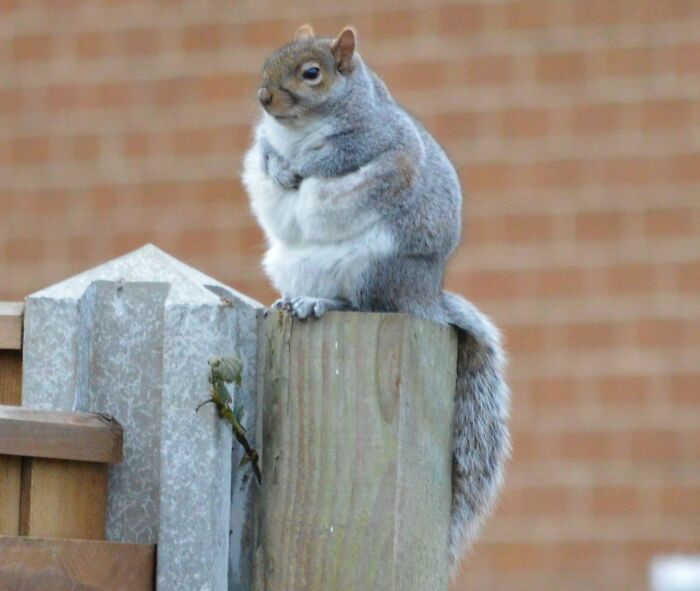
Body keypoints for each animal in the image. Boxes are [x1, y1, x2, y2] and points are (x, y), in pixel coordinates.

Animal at [241, 23, 508, 572]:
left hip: (374, 270)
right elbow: (263, 148)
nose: (263, 97)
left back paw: (323, 305)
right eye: (269, 61)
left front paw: (300, 166)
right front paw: (276, 167)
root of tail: (424, 298)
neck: (297, 126)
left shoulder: (372, 138)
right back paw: (295, 300)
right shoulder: (267, 135)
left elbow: (333, 158)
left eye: (312, 73)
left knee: (365, 304)